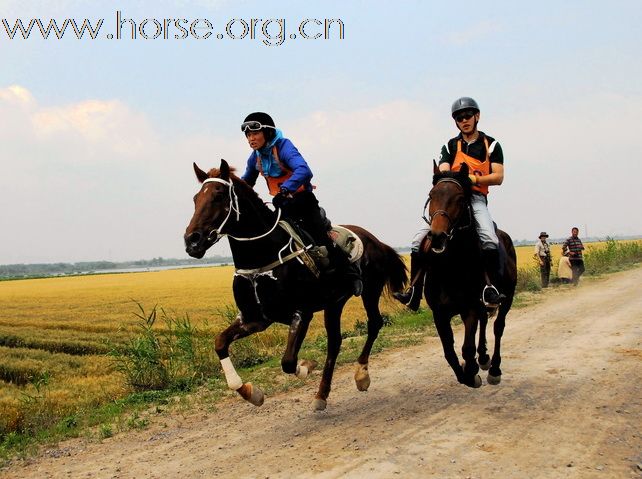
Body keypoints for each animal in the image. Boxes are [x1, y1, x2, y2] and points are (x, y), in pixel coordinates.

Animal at [182, 161, 408, 412]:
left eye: (218, 195)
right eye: (196, 198)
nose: (192, 240)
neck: (262, 256)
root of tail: (375, 240)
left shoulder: (301, 312)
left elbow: (288, 362)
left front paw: (307, 365)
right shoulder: (255, 319)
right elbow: (220, 343)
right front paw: (251, 393)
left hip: (370, 290)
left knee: (374, 323)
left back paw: (361, 375)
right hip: (335, 302)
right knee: (335, 341)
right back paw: (321, 394)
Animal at [420, 163, 516, 388]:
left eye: (461, 198)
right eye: (431, 195)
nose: (437, 236)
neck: (451, 267)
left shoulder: (469, 308)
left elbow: (467, 348)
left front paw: (472, 373)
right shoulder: (439, 313)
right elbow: (449, 352)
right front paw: (466, 372)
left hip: (507, 298)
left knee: (498, 327)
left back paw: (494, 368)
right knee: (485, 322)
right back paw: (484, 358)